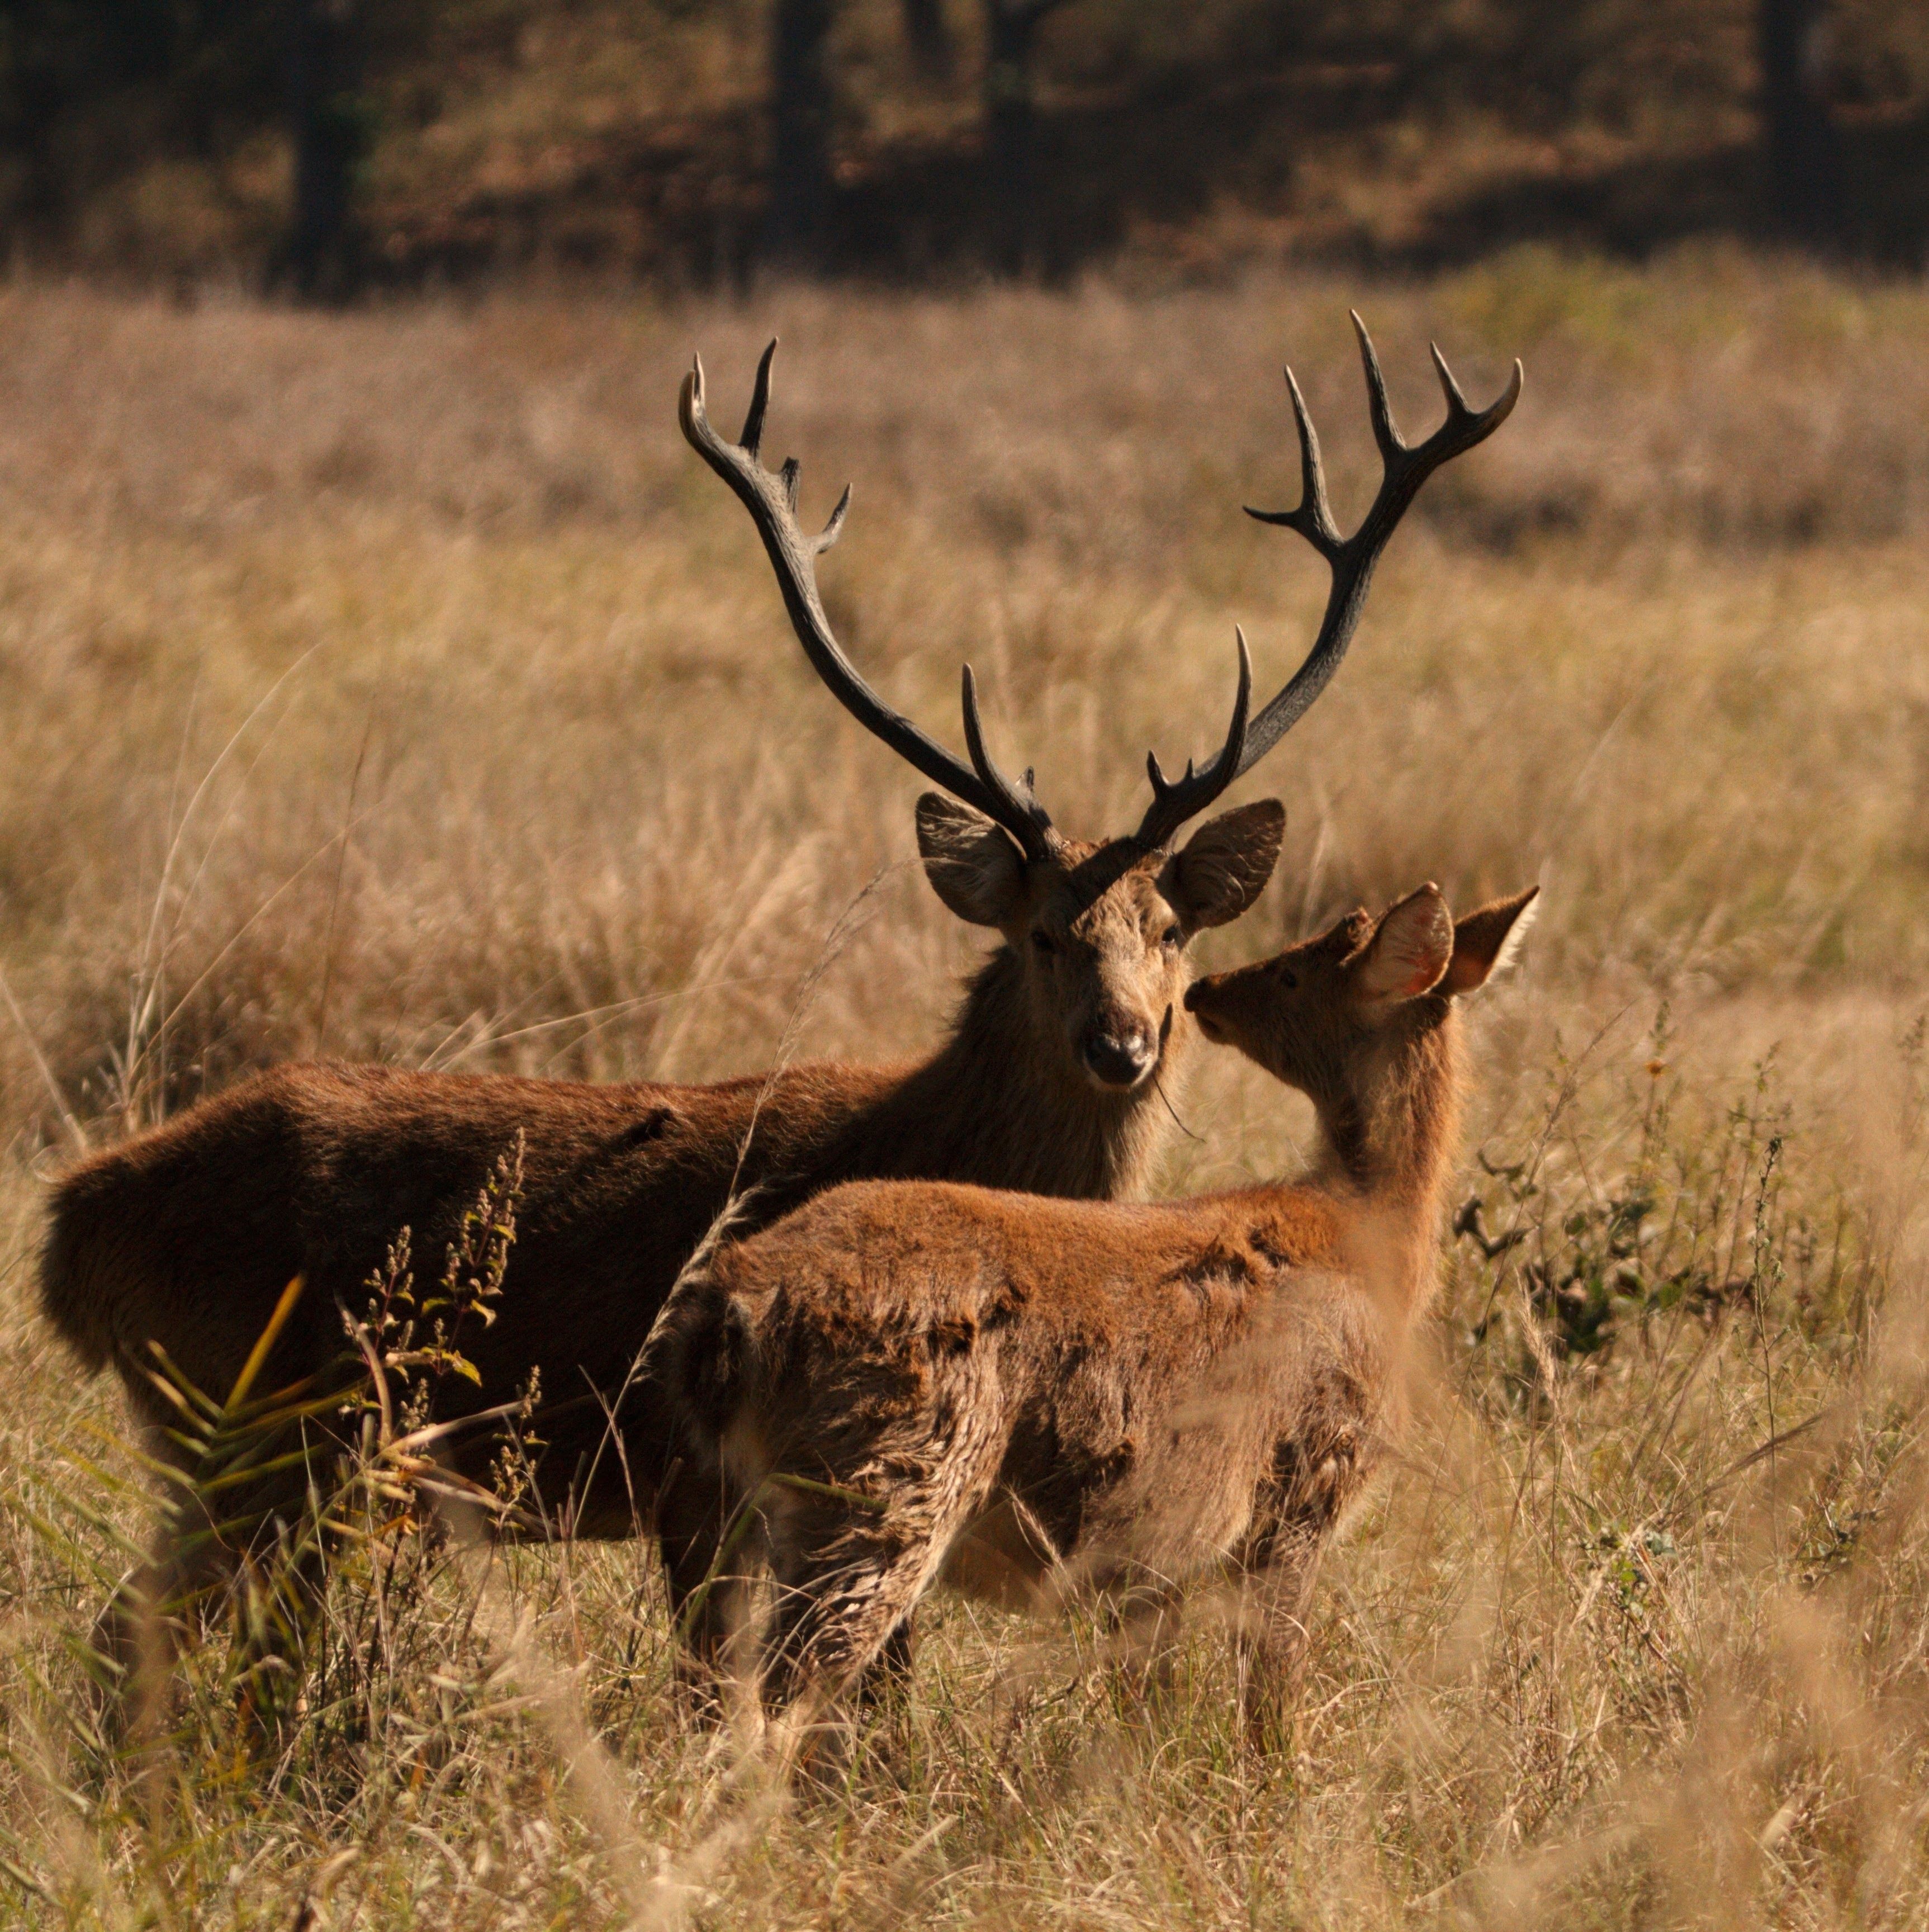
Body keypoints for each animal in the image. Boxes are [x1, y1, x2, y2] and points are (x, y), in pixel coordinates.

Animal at [36, 321, 1519, 1679]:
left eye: (1170, 929)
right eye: (1043, 933)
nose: (1124, 1042)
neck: (941, 1136)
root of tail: (70, 1228)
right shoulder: (696, 1478)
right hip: (258, 1429)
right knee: (130, 1648)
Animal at [658, 881, 1538, 1755]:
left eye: (1292, 972)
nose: (1205, 992)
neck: (1369, 1240)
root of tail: (729, 1305)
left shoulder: (1159, 1566)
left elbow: (1148, 1704)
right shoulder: (1299, 1492)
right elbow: (1269, 1699)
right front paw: (1277, 1781)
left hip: (757, 1505)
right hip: (890, 1487)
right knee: (777, 1704)